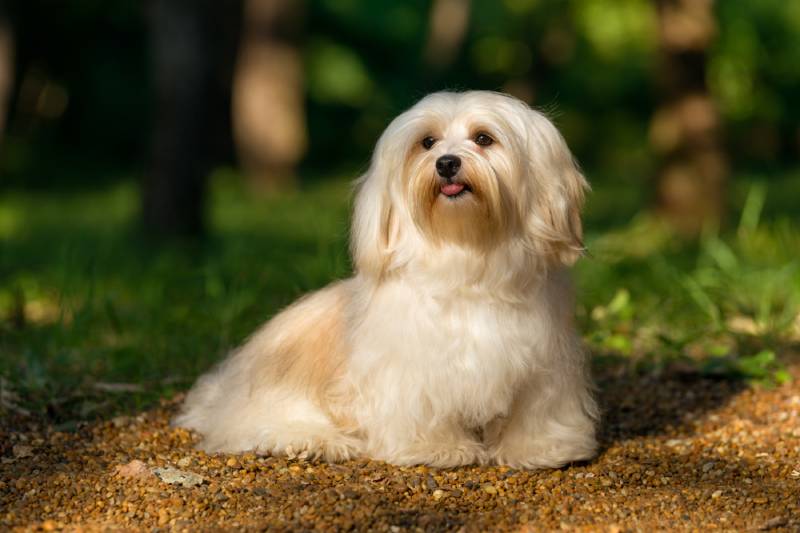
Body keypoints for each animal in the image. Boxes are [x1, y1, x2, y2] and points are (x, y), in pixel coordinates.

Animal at [177, 90, 600, 466]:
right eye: (427, 142)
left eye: (484, 138)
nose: (446, 163)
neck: (468, 253)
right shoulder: (411, 368)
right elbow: (422, 407)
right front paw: (437, 449)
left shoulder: (543, 363)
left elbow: (535, 410)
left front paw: (540, 449)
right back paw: (315, 441)